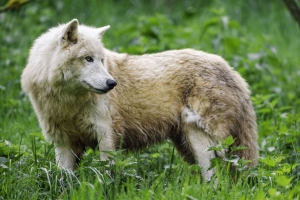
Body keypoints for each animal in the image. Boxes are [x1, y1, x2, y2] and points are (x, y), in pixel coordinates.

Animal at [21, 18, 258, 181]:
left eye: (101, 60)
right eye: (88, 59)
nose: (111, 83)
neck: (69, 103)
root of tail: (235, 73)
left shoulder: (106, 135)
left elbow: (106, 174)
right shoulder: (63, 143)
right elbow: (65, 179)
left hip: (201, 141)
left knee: (215, 179)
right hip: (187, 146)